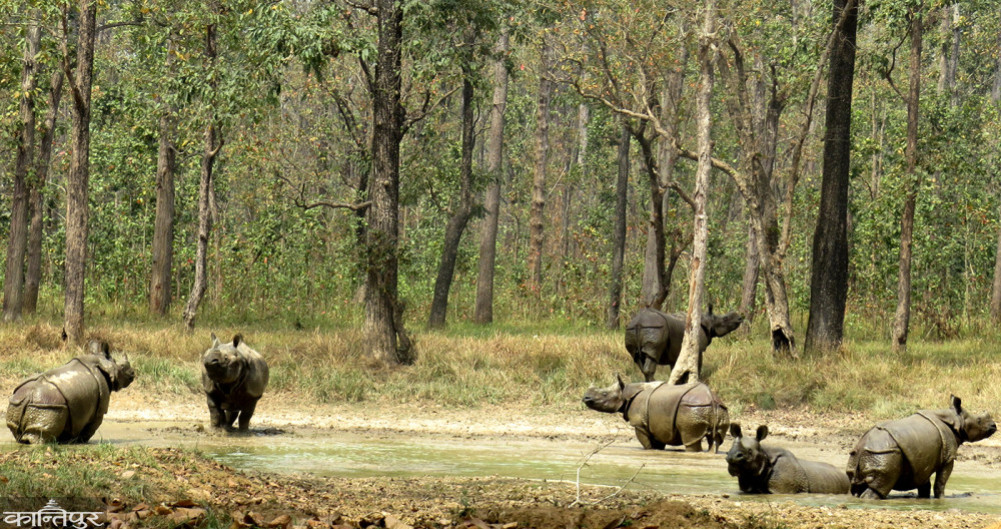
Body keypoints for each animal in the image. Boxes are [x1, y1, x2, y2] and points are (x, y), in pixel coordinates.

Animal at [6, 340, 135, 444]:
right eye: (122, 367)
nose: (133, 373)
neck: (103, 362)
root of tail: (28, 396)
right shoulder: (99, 408)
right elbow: (92, 425)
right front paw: (81, 441)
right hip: (47, 405)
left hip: (18, 404)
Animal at [582, 375, 729, 452]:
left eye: (604, 394)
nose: (585, 398)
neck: (625, 393)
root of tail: (710, 398)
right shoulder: (657, 424)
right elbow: (658, 442)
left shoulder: (640, 424)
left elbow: (646, 443)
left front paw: (649, 450)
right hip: (719, 409)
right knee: (716, 439)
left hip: (691, 409)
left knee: (690, 439)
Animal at [846, 395, 996, 499]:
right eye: (979, 421)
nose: (994, 425)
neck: (956, 419)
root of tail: (862, 448)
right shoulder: (948, 456)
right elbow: (941, 481)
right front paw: (941, 499)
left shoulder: (922, 460)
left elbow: (924, 482)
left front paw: (924, 498)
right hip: (883, 453)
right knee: (880, 486)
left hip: (863, 455)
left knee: (856, 488)